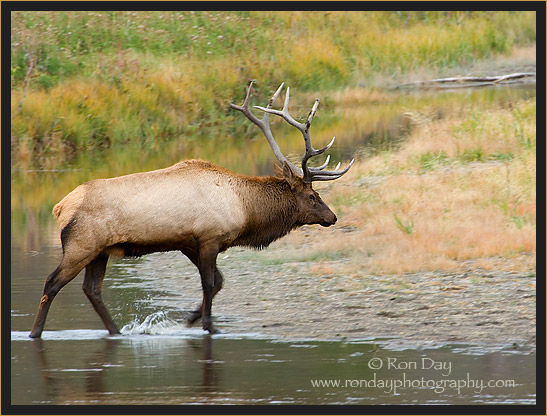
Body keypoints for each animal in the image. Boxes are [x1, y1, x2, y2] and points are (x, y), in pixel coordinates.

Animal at [30, 82, 356, 338]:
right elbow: (209, 283)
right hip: (81, 244)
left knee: (92, 289)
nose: (332, 216)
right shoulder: (210, 238)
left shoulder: (189, 242)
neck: (245, 210)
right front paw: (208, 326)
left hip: (100, 251)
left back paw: (116, 331)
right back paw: (35, 332)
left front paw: (188, 320)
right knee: (52, 282)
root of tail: (60, 207)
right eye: (312, 195)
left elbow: (217, 282)